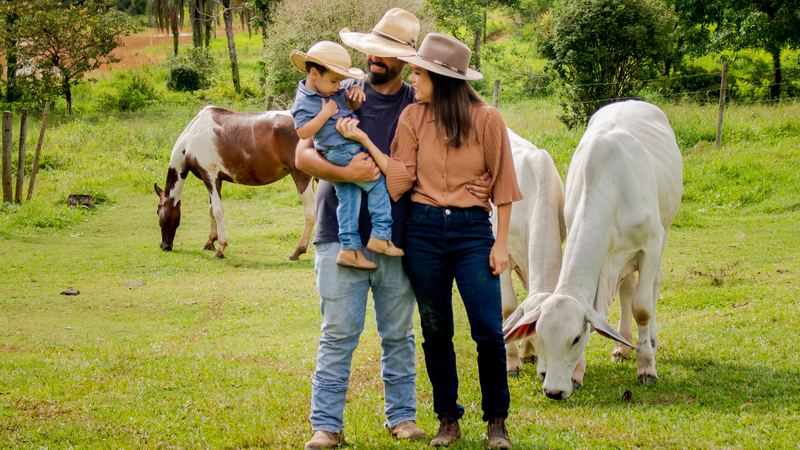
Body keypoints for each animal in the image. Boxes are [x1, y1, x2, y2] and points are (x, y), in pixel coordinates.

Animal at [156, 106, 316, 260]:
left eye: (159, 212)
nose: (164, 246)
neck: (191, 138)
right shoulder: (216, 180)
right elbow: (211, 210)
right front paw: (210, 242)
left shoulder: (210, 177)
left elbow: (218, 211)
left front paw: (221, 249)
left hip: (302, 176)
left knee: (310, 213)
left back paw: (298, 251)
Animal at [506, 100, 680, 400]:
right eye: (539, 334)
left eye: (576, 338)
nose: (553, 390)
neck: (612, 187)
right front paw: (577, 374)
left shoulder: (650, 244)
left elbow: (642, 307)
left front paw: (646, 368)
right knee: (626, 289)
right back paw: (622, 346)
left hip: (665, 229)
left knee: (652, 287)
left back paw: (650, 341)